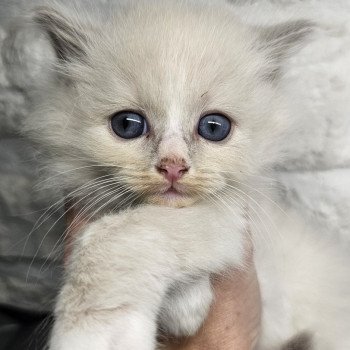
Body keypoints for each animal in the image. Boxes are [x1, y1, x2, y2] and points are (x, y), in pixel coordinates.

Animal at [23, 0, 350, 350]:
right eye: (127, 125)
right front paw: (186, 309)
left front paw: (93, 334)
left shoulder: (239, 222)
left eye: (214, 128)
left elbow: (120, 236)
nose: (173, 166)